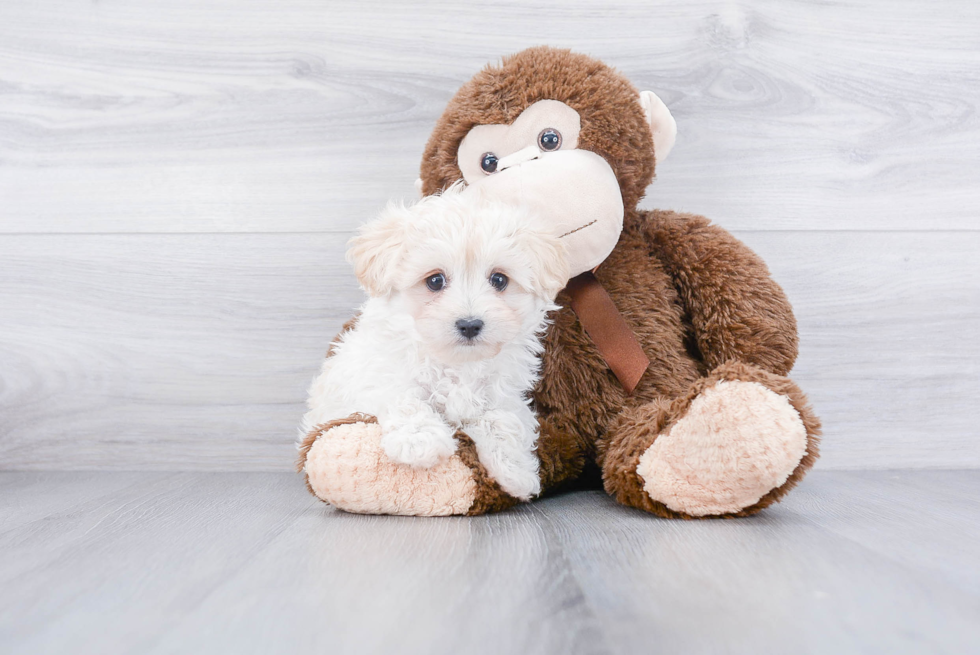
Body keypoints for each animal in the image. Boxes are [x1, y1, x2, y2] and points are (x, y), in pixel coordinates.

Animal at [302, 187, 572, 500]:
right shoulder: (377, 375)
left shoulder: (503, 393)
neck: (456, 363)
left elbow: (503, 419)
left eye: (499, 279)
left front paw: (516, 472)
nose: (470, 324)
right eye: (435, 281)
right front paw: (420, 442)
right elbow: (404, 397)